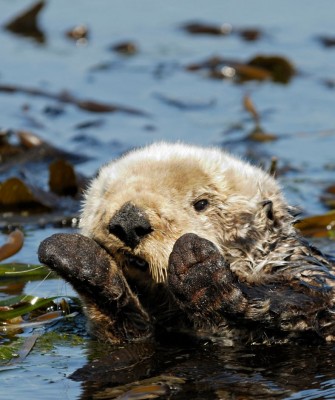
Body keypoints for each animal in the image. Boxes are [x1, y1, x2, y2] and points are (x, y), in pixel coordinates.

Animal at [38, 143, 335, 344]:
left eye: (202, 203)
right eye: (104, 195)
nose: (128, 222)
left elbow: (307, 298)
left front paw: (197, 266)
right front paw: (81, 260)